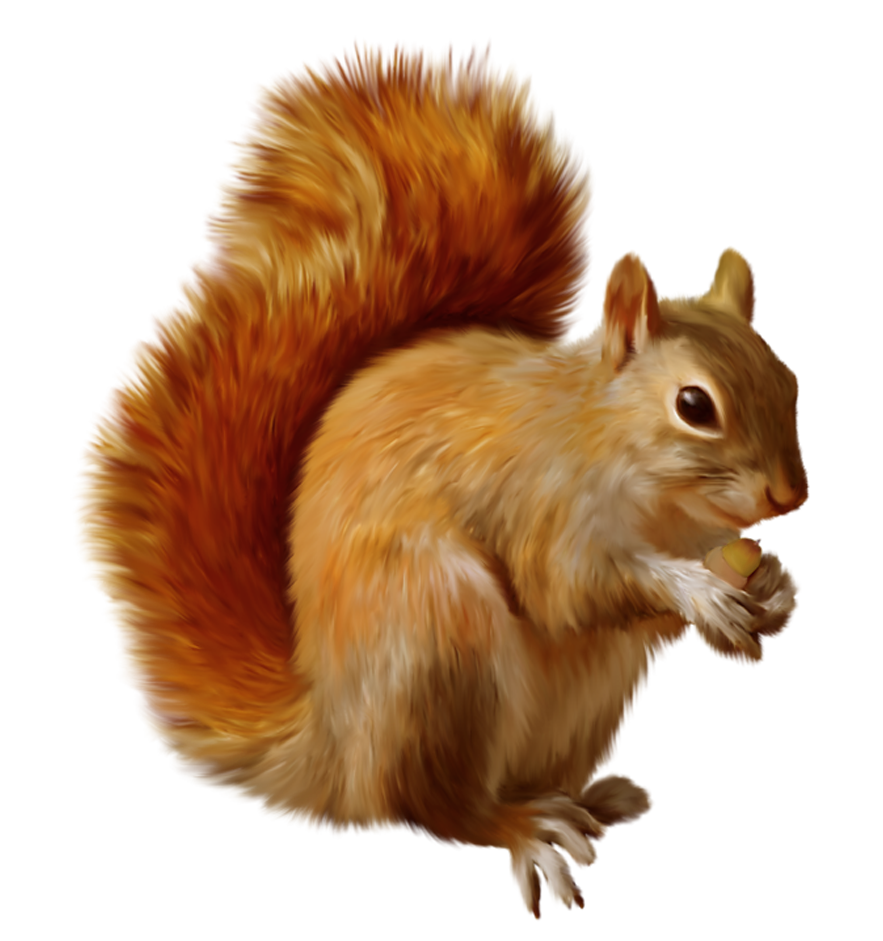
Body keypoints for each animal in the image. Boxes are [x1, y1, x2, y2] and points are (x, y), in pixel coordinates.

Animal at [83, 38, 806, 921]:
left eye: (776, 371)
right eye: (694, 405)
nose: (788, 496)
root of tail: (334, 738)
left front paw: (773, 569)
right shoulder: (538, 499)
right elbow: (565, 589)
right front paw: (696, 590)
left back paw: (597, 793)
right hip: (438, 642)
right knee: (431, 803)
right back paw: (524, 827)